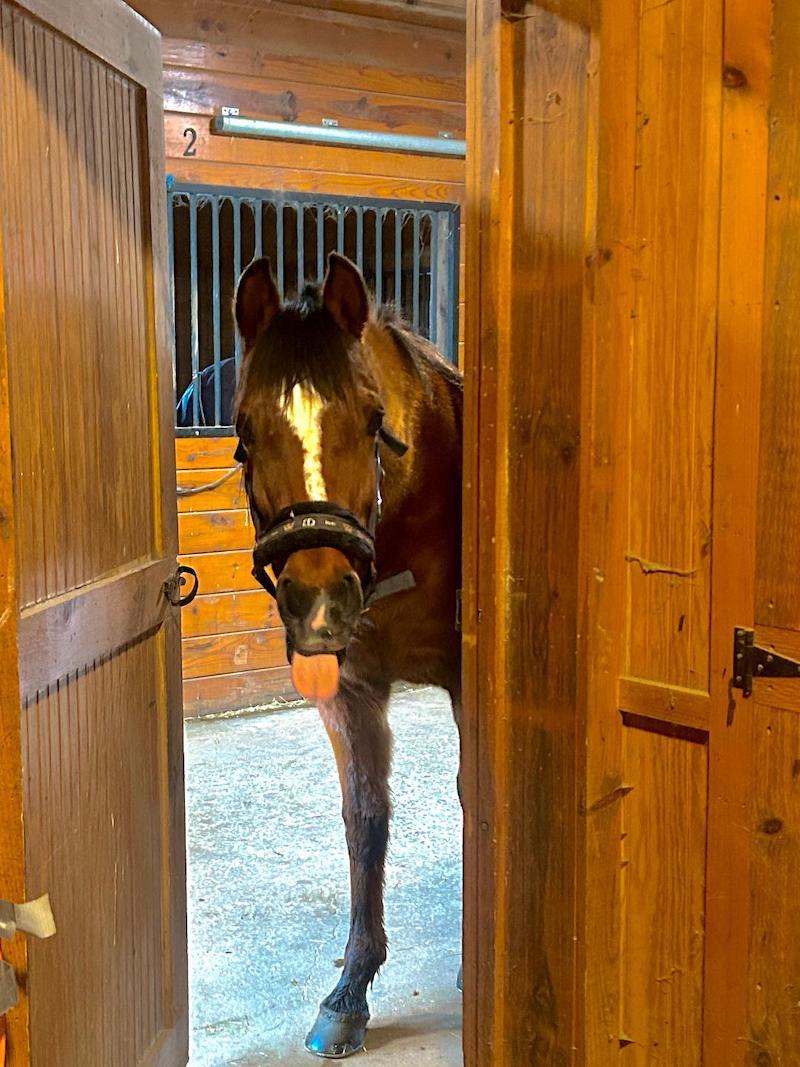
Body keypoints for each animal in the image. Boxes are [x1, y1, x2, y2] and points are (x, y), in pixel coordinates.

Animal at [232, 252, 462, 1058]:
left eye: (372, 420)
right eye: (243, 430)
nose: (321, 606)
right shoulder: (350, 692)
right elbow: (365, 820)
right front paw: (350, 992)